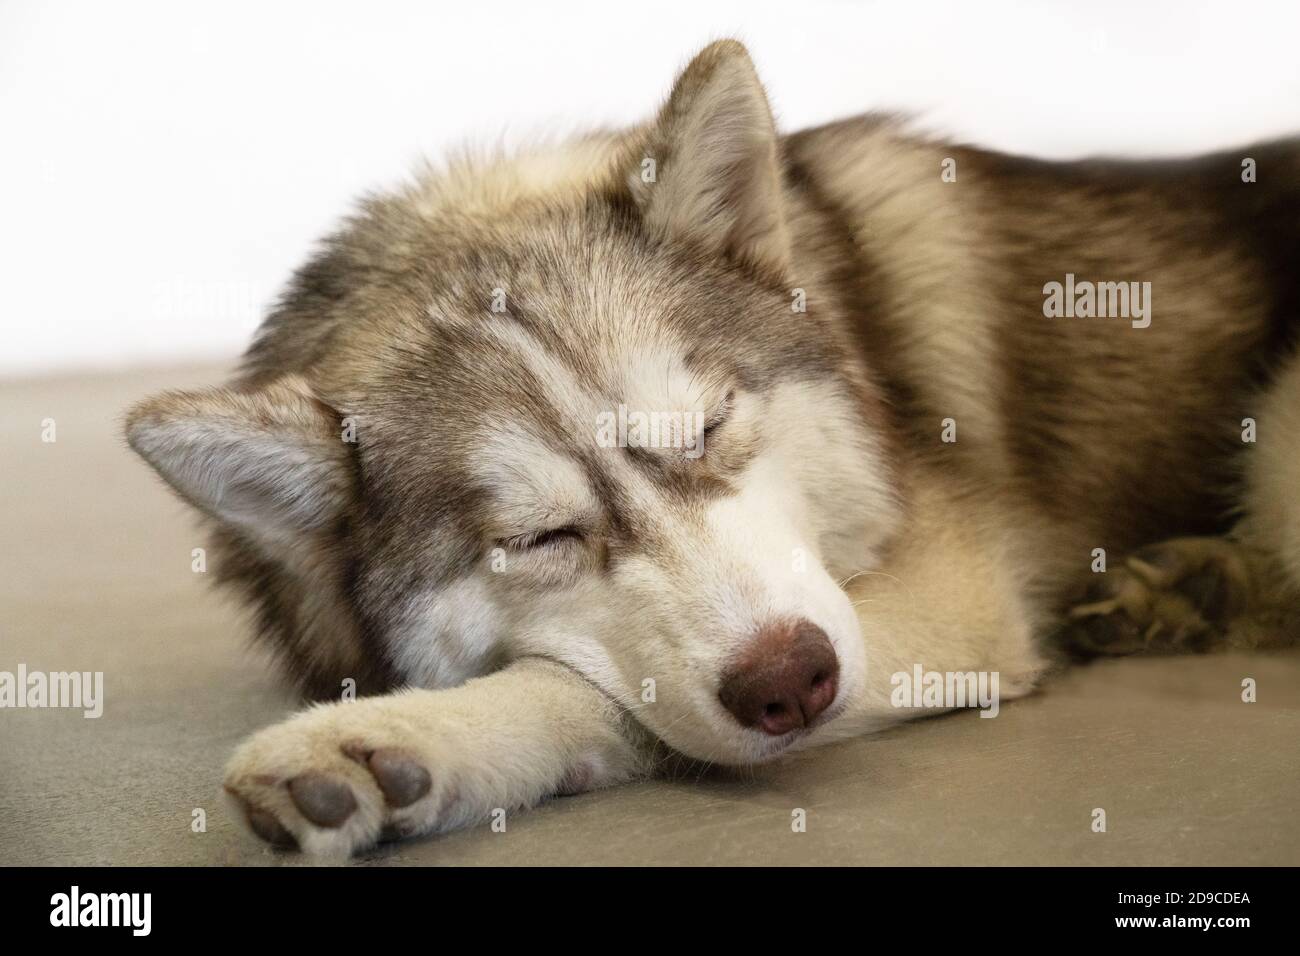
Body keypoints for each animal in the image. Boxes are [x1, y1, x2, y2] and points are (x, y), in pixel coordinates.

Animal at [124, 41, 1300, 858]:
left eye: (709, 427)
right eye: (540, 538)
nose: (793, 681)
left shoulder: (953, 601)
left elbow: (605, 691)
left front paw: (418, 736)